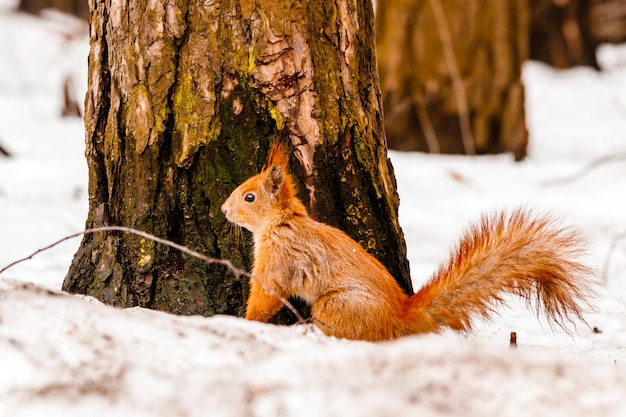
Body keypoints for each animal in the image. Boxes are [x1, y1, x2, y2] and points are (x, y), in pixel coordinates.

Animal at [222, 145, 592, 340]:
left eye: (250, 197)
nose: (224, 209)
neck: (283, 222)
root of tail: (398, 318)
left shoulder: (280, 257)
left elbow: (267, 295)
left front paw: (245, 322)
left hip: (337, 307)